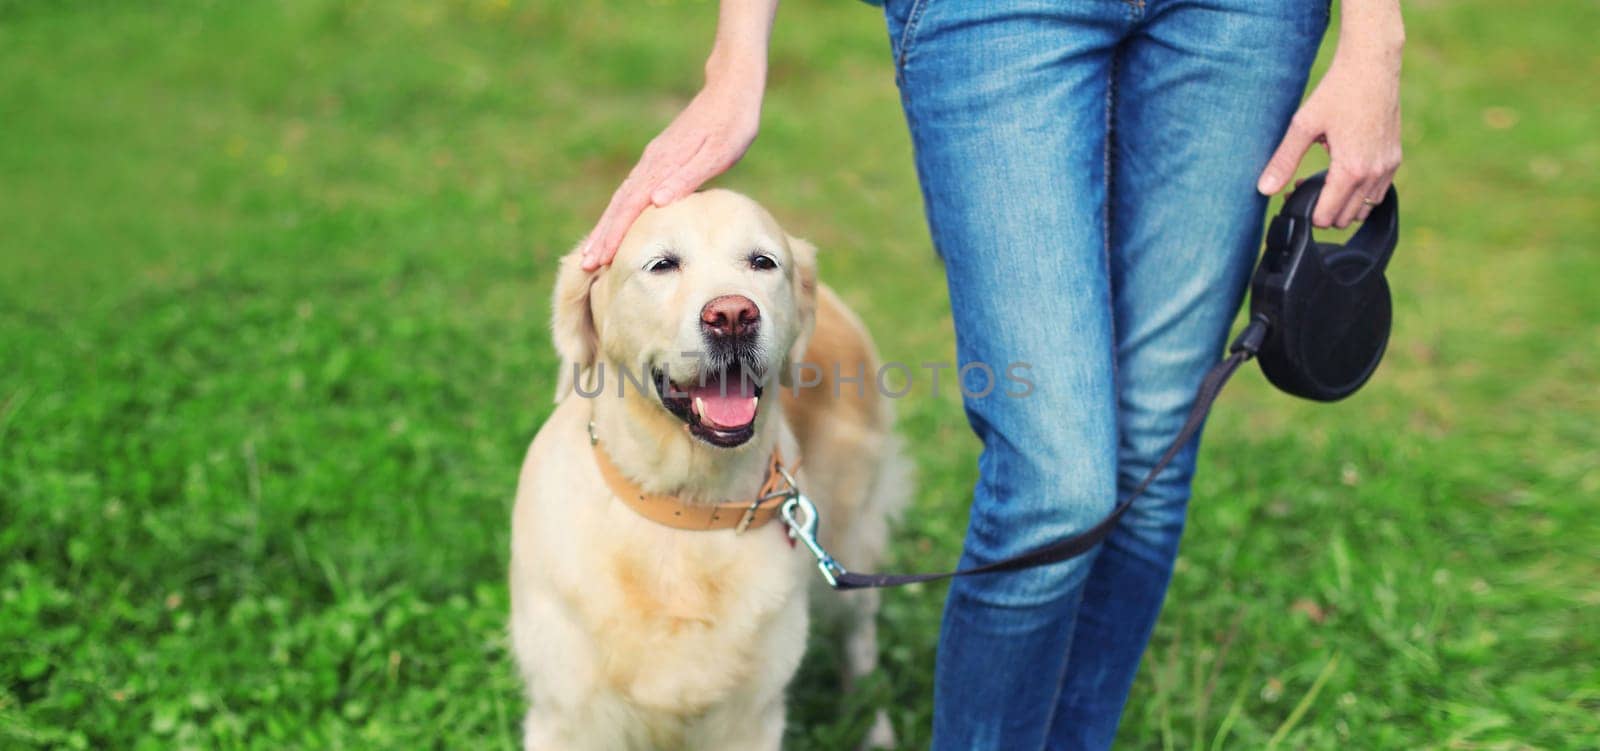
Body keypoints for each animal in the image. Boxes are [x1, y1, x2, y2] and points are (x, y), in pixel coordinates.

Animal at [515, 190, 915, 746]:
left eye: (763, 262)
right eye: (662, 264)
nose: (732, 315)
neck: (683, 508)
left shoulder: (751, 719)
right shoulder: (567, 715)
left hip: (850, 544)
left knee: (861, 647)